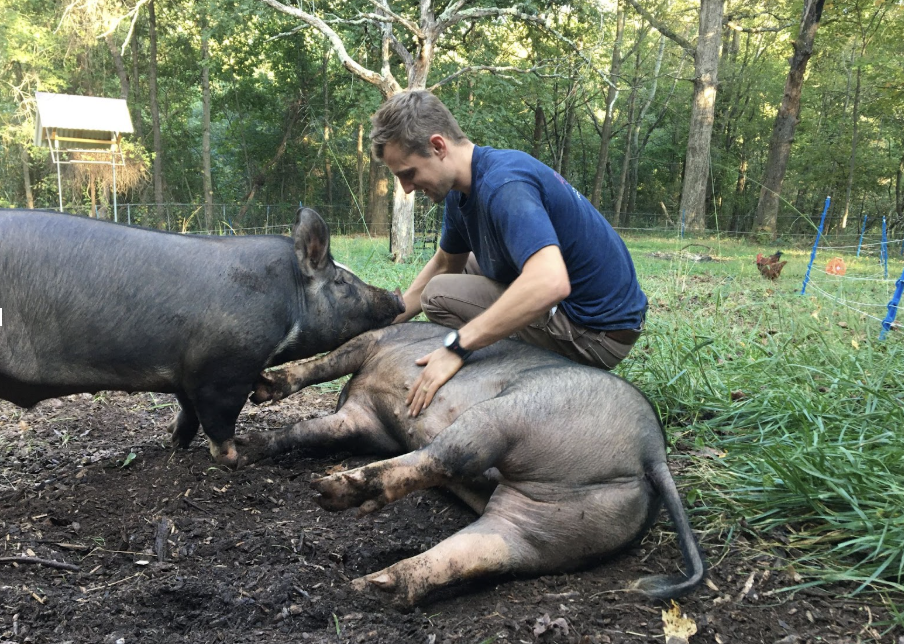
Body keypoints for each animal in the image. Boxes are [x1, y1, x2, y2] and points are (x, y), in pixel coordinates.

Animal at [0, 207, 404, 466]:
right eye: (342, 281)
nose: (397, 296)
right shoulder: (225, 365)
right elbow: (218, 414)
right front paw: (234, 457)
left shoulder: (187, 368)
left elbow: (187, 407)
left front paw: (173, 442)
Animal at [248, 322, 706, 605]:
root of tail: (652, 451)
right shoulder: (362, 418)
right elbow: (302, 433)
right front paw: (242, 448)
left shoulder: (380, 339)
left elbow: (325, 363)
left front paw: (262, 388)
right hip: (556, 521)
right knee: (486, 549)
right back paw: (371, 585)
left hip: (521, 410)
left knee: (450, 455)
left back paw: (333, 492)